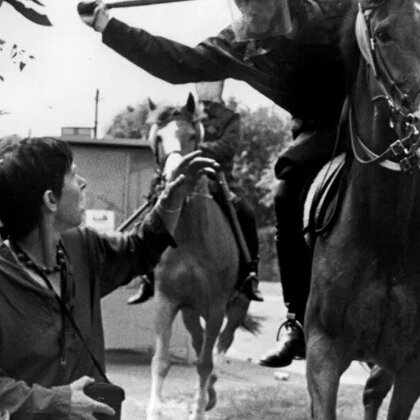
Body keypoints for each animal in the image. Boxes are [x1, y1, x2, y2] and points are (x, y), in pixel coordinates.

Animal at [145, 94, 253, 420]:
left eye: (193, 136)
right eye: (158, 138)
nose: (175, 176)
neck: (191, 239)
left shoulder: (216, 306)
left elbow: (205, 362)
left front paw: (199, 409)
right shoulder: (167, 301)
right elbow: (161, 360)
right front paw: (154, 409)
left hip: (236, 306)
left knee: (220, 344)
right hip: (190, 310)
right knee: (198, 339)